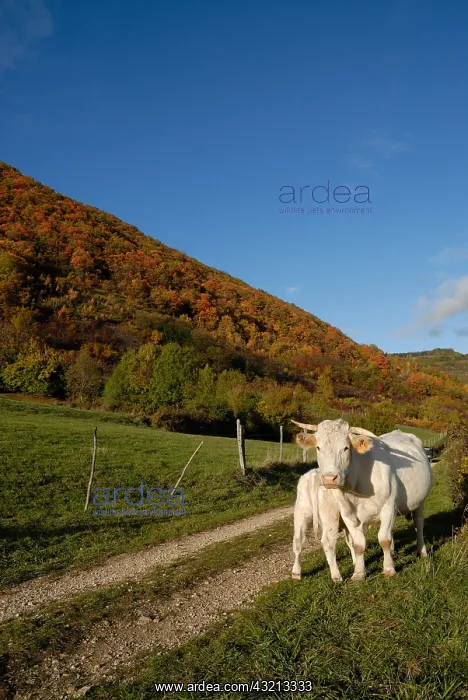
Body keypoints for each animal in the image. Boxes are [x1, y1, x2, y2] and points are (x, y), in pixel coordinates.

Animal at [291, 419, 432, 582]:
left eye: (346, 448)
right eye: (318, 447)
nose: (329, 478)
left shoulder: (389, 507)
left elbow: (384, 539)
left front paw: (388, 569)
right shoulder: (348, 515)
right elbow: (358, 544)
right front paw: (359, 572)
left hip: (419, 501)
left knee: (419, 524)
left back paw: (422, 551)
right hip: (306, 514)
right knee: (306, 541)